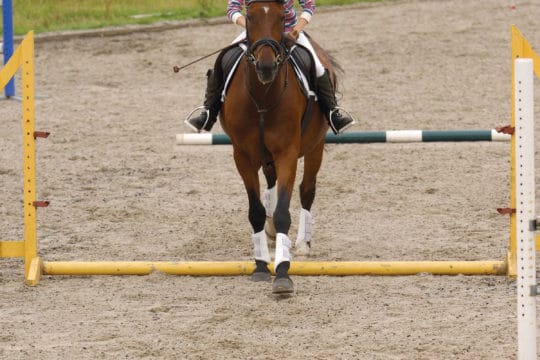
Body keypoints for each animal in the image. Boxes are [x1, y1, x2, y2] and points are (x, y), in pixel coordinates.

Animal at [219, 0, 338, 292]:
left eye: (282, 17)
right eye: (250, 18)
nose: (266, 67)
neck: (263, 96)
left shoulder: (288, 153)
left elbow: (285, 211)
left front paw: (283, 273)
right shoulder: (243, 156)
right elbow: (255, 212)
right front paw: (261, 266)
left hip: (315, 145)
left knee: (307, 190)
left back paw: (304, 243)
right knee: (270, 182)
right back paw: (271, 231)